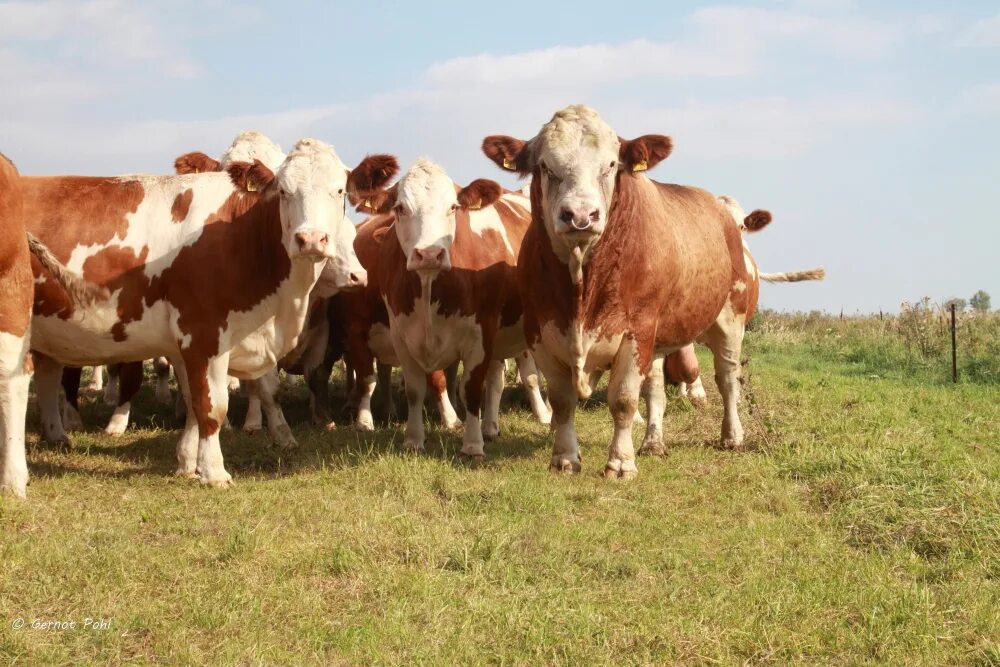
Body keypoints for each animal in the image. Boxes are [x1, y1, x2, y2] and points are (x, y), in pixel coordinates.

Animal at [19, 140, 394, 490]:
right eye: (284, 191)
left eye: (339, 190)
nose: (311, 239)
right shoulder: (202, 335)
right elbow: (210, 407)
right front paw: (213, 471)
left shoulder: (189, 343)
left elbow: (194, 403)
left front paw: (187, 462)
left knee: (48, 374)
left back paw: (56, 433)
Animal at [484, 104, 756, 478]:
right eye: (544, 166)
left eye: (611, 164)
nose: (580, 215)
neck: (582, 283)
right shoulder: (542, 332)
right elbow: (562, 401)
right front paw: (565, 458)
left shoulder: (636, 331)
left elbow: (624, 399)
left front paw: (621, 462)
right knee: (656, 389)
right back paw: (653, 442)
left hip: (730, 317)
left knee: (727, 376)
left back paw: (732, 436)